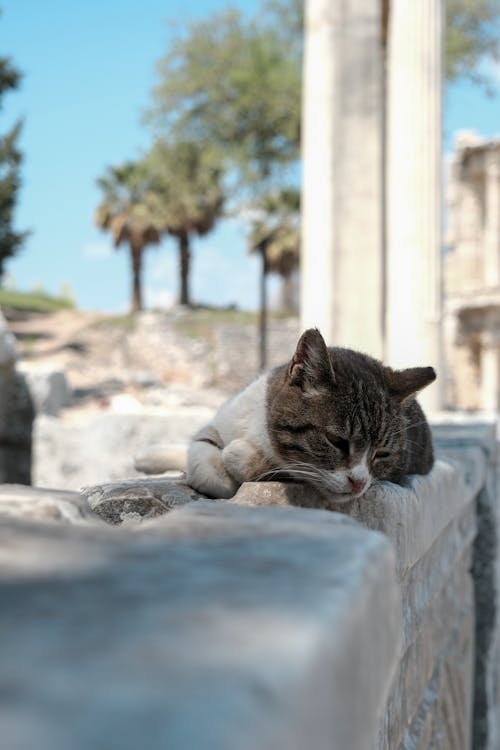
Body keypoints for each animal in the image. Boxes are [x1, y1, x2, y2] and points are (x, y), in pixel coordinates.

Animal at [186, 328, 436, 506]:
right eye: (336, 441)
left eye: (383, 454)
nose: (359, 483)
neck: (260, 433)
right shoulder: (224, 420)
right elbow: (204, 458)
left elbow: (280, 468)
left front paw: (238, 456)